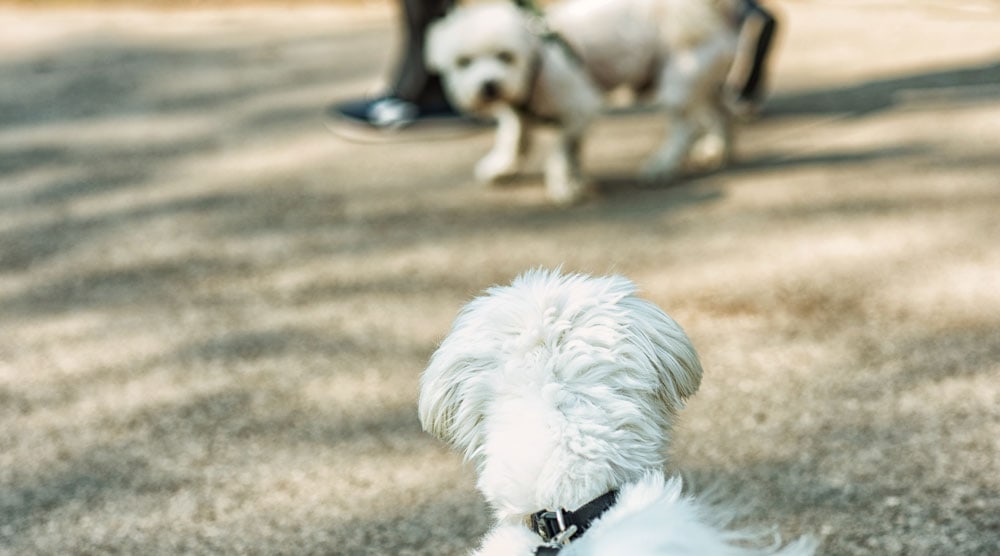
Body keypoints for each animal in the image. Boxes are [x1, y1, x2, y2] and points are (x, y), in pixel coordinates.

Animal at [426, 0, 748, 204]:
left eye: (506, 56)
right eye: (463, 62)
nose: (489, 85)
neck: (536, 62)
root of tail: (711, 12)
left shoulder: (578, 108)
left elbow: (561, 152)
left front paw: (565, 185)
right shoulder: (522, 113)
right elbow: (516, 138)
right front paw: (503, 167)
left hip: (681, 74)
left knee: (686, 124)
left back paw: (661, 165)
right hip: (702, 80)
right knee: (721, 112)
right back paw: (718, 149)